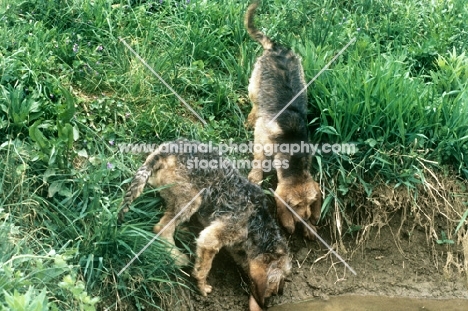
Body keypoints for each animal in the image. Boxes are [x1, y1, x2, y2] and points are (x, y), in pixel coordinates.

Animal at [119, 140, 290, 310]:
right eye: (274, 288)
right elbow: (204, 268)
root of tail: (164, 150)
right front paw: (202, 286)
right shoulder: (213, 238)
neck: (257, 224)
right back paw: (178, 257)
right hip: (192, 199)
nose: (266, 305)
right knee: (161, 228)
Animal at [245, 1, 322, 241]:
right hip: (254, 85)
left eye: (310, 204)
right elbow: (258, 159)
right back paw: (250, 118)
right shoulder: (262, 137)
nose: (304, 219)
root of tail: (278, 47)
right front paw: (255, 177)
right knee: (255, 104)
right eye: (294, 206)